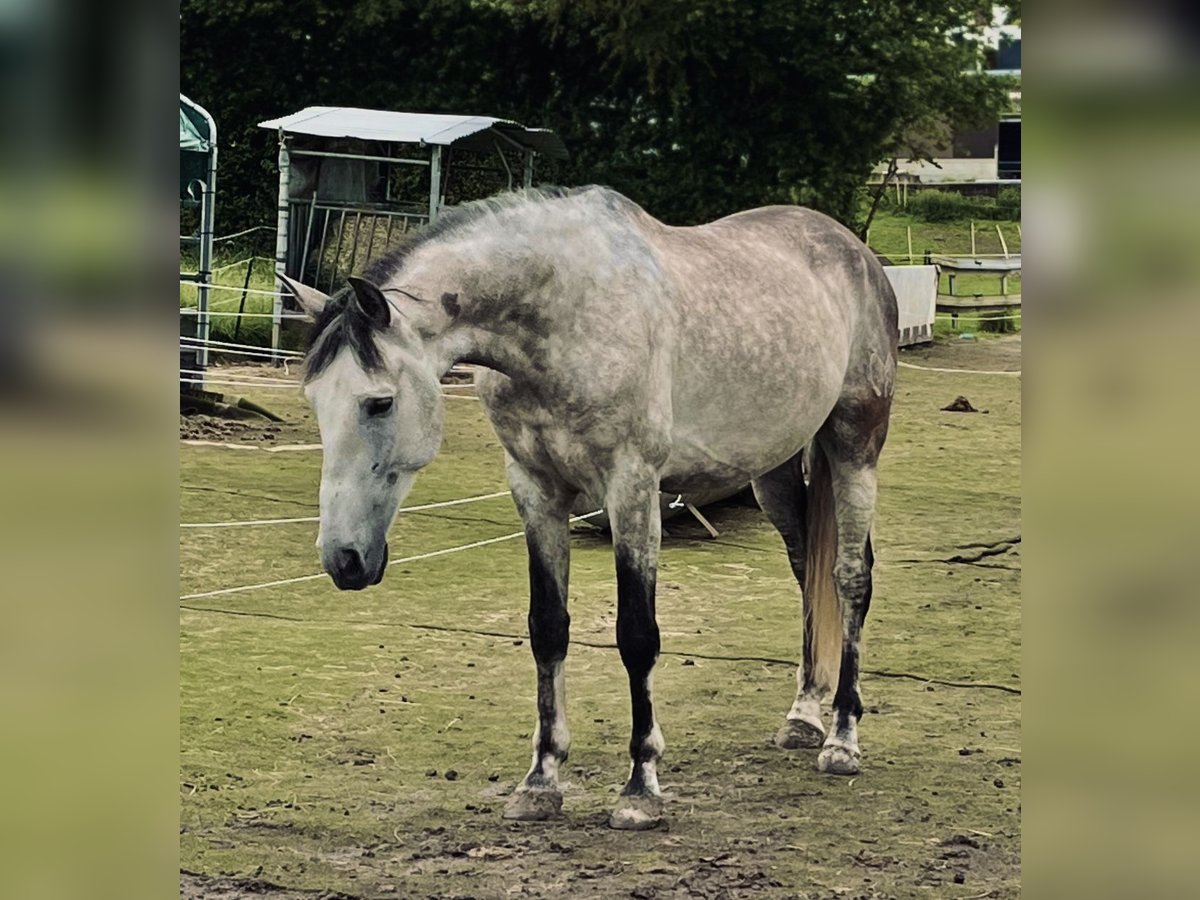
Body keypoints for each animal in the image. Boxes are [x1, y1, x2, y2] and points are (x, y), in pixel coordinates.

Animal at [280, 183, 897, 830]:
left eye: (379, 402)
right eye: (315, 401)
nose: (344, 559)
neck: (564, 313)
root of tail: (855, 252)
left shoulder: (633, 487)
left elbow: (637, 635)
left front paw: (640, 789)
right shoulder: (536, 490)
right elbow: (547, 627)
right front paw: (540, 781)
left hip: (855, 447)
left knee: (849, 578)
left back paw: (842, 739)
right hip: (774, 473)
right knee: (808, 573)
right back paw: (803, 716)